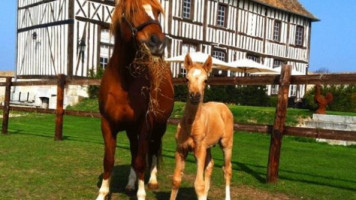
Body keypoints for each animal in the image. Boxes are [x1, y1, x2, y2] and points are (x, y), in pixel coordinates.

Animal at [96, 0, 175, 199]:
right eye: (132, 11)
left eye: (157, 12)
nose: (158, 42)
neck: (124, 80)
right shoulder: (107, 124)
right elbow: (109, 160)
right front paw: (103, 192)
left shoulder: (145, 125)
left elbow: (141, 161)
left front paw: (141, 193)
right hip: (132, 130)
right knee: (134, 150)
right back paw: (130, 184)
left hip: (159, 127)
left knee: (152, 150)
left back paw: (152, 180)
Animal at [170, 54, 234, 199]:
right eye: (187, 78)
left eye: (205, 80)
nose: (195, 96)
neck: (191, 126)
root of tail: (224, 106)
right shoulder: (180, 149)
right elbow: (176, 179)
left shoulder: (199, 150)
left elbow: (199, 184)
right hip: (208, 146)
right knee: (210, 165)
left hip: (226, 144)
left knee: (227, 169)